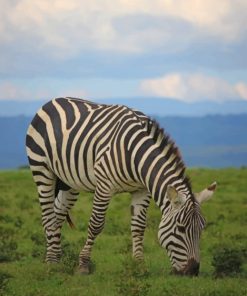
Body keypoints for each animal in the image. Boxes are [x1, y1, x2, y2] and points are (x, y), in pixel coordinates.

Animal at [25, 97, 216, 276]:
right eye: (181, 229)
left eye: (202, 228)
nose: (193, 271)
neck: (136, 156)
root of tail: (54, 100)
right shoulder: (104, 185)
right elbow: (96, 224)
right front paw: (83, 265)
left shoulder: (142, 190)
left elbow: (139, 226)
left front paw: (139, 265)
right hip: (42, 169)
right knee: (48, 216)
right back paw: (51, 262)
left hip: (69, 182)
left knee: (57, 214)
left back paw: (55, 257)